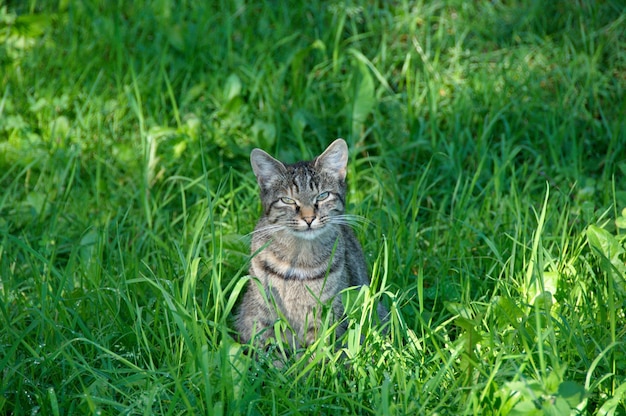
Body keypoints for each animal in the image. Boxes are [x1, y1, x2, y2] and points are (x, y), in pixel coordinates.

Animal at [233, 140, 382, 352]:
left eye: (322, 196)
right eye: (287, 200)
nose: (309, 218)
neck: (300, 258)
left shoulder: (328, 315)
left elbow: (320, 351)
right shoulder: (262, 317)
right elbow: (268, 351)